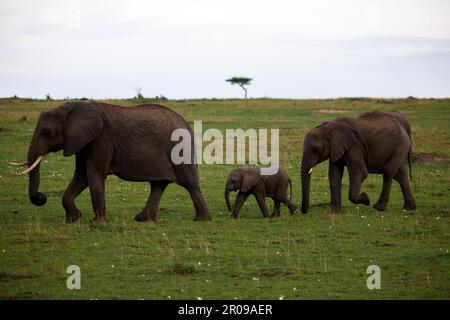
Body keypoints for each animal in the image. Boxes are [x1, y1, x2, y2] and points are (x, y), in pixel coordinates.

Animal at [10, 101, 211, 224]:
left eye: (46, 132)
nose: (41, 197)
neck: (73, 107)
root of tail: (188, 126)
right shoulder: (82, 140)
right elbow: (82, 176)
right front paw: (73, 219)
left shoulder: (101, 138)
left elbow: (94, 174)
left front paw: (96, 223)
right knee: (158, 185)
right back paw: (142, 219)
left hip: (180, 149)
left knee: (190, 184)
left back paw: (201, 220)